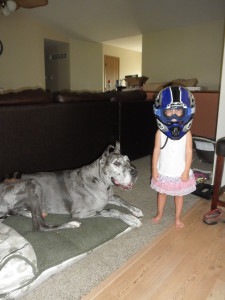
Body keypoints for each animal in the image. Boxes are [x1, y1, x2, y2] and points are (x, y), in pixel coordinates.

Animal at [0, 142, 143, 231]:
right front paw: (131, 218)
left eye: (128, 160)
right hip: (33, 184)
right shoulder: (80, 212)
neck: (100, 181)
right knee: (40, 227)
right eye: (116, 163)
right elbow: (111, 211)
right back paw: (70, 224)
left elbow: (119, 199)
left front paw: (135, 210)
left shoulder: (109, 196)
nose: (136, 172)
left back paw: (29, 213)